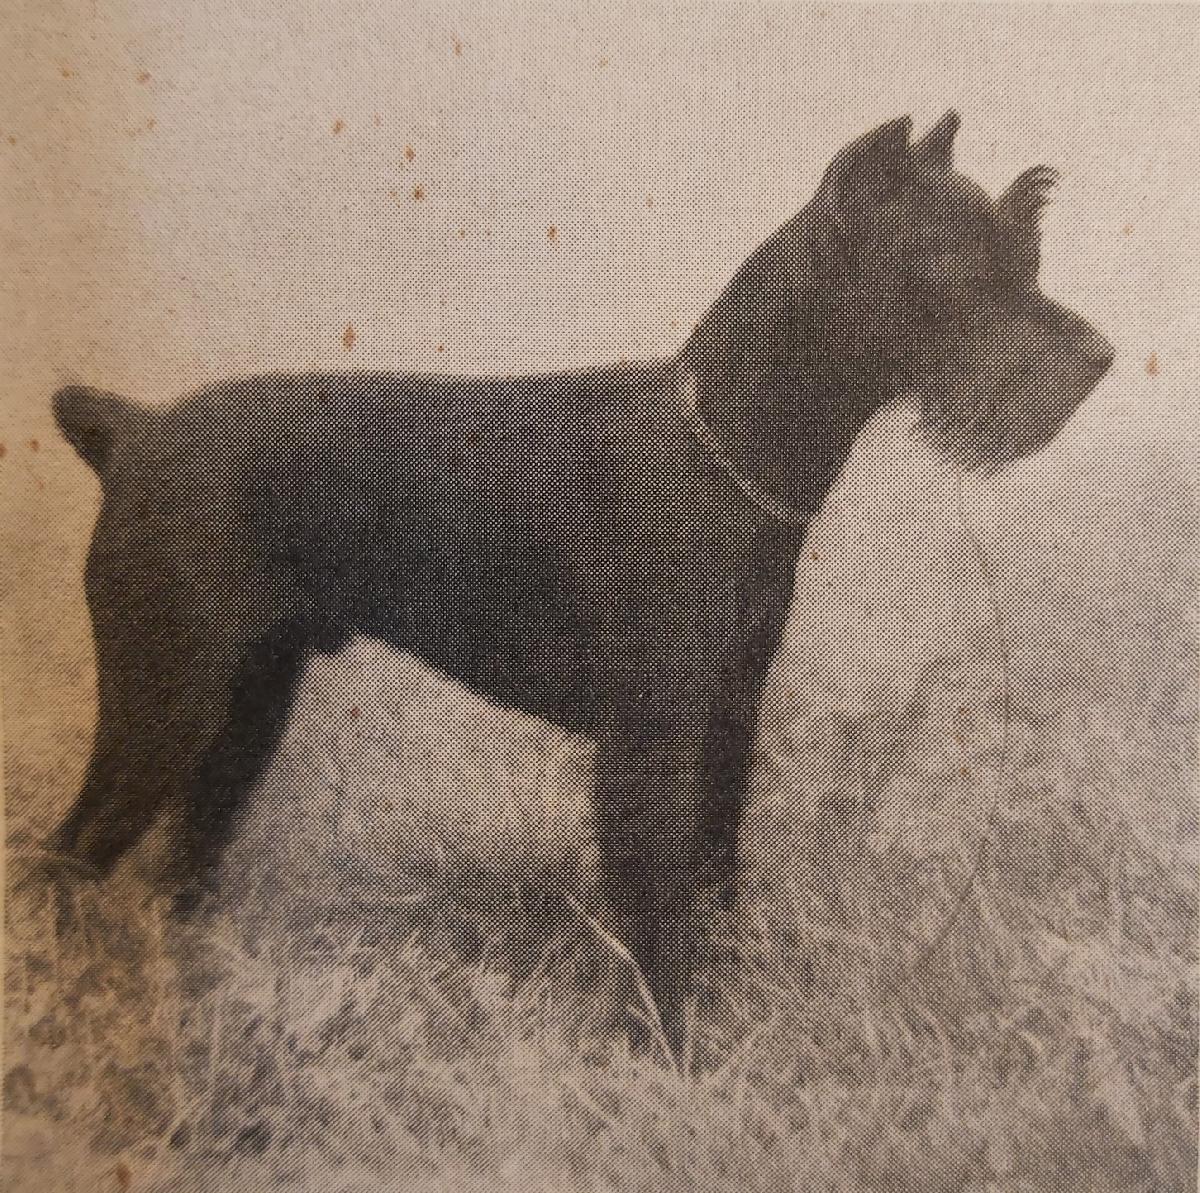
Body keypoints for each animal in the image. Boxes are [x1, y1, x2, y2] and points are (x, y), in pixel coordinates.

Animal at [47, 112, 1112, 1057]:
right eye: (965, 264)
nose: (1100, 358)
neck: (722, 448)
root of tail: (134, 431)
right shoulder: (649, 743)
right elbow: (659, 910)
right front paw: (671, 1050)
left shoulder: (727, 721)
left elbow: (716, 878)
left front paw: (734, 1002)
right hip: (164, 704)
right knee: (70, 851)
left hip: (246, 709)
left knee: (184, 855)